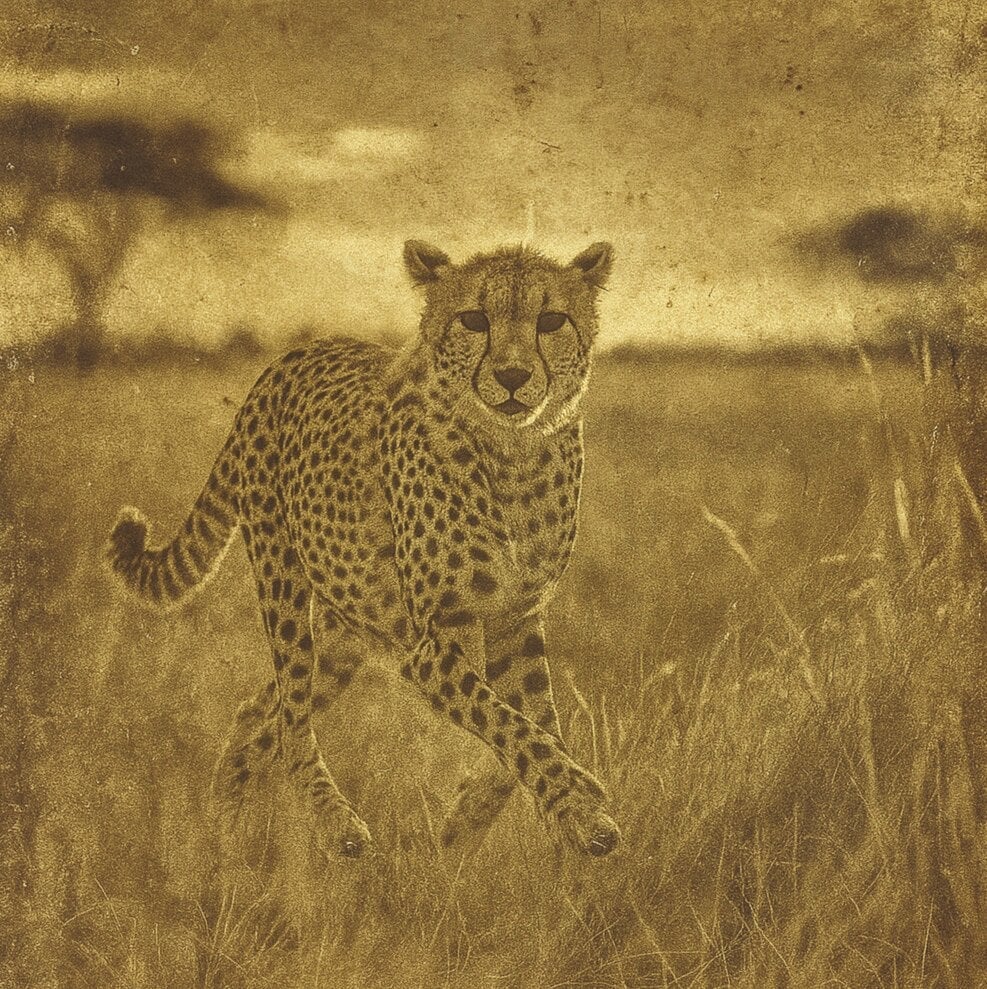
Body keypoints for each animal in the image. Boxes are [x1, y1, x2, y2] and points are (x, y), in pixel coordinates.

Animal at [105, 238, 621, 861]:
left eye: (551, 322)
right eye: (474, 320)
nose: (514, 375)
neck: (513, 453)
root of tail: (294, 355)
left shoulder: (516, 619)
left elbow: (536, 723)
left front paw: (498, 818)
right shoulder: (433, 645)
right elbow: (512, 724)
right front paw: (573, 795)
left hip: (346, 631)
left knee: (259, 714)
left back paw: (225, 841)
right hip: (284, 587)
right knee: (292, 720)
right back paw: (335, 825)